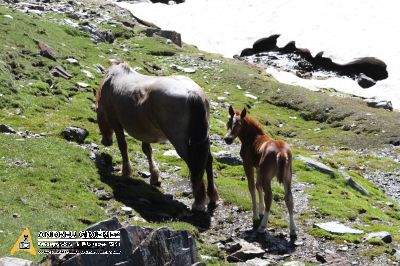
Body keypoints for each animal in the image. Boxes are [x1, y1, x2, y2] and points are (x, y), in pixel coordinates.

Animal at [223, 106, 296, 237]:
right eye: (229, 122)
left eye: (239, 124)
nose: (228, 139)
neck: (252, 138)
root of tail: (281, 153)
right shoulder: (258, 167)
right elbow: (258, 186)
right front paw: (261, 210)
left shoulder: (248, 164)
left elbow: (252, 186)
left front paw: (256, 215)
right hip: (287, 177)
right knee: (289, 198)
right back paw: (293, 229)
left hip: (268, 177)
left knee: (269, 196)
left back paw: (262, 227)